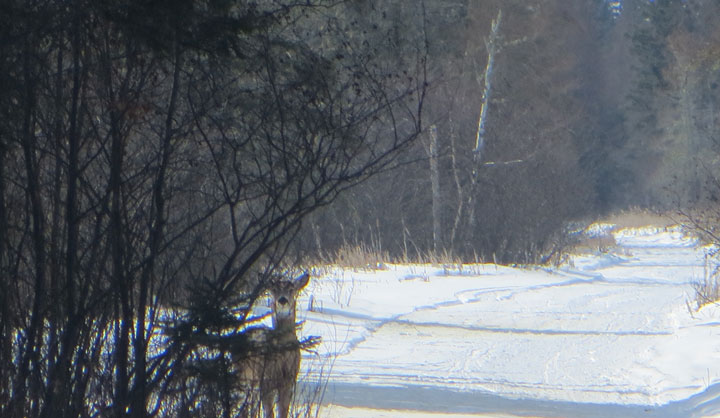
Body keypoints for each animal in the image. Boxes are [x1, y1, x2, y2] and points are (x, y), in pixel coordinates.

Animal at [235, 271, 310, 418]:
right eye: (274, 289)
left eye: (291, 289)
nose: (282, 300)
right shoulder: (267, 382)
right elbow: (270, 413)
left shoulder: (288, 382)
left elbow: (283, 412)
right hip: (246, 378)